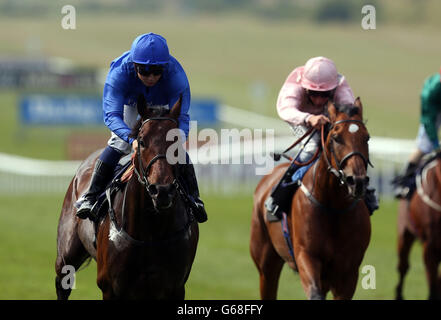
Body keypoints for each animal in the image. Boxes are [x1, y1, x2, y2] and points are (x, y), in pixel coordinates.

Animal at [55, 95, 198, 300]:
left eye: (176, 143)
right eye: (142, 141)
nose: (161, 190)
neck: (151, 231)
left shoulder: (174, 287)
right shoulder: (110, 287)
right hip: (66, 254)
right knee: (63, 282)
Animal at [251, 99, 372, 298]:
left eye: (367, 137)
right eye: (336, 137)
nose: (357, 181)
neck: (333, 207)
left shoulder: (348, 271)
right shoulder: (306, 256)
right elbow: (314, 293)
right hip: (265, 263)